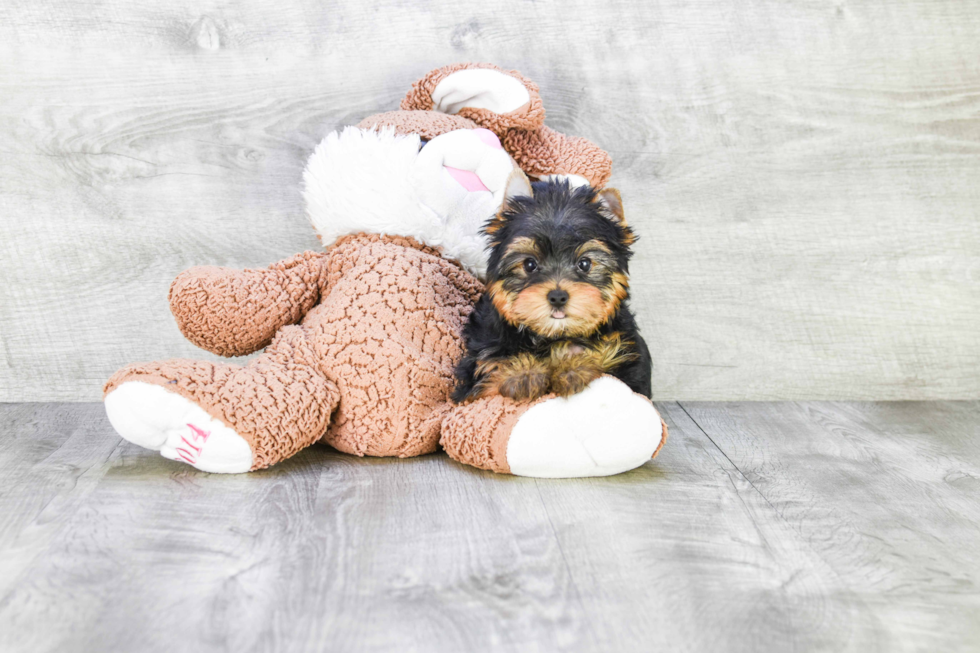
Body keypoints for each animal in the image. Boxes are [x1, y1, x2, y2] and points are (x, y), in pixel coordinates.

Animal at [452, 176, 652, 404]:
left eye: (584, 264)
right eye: (530, 264)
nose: (557, 297)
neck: (554, 335)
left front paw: (572, 366)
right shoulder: (479, 366)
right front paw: (523, 373)